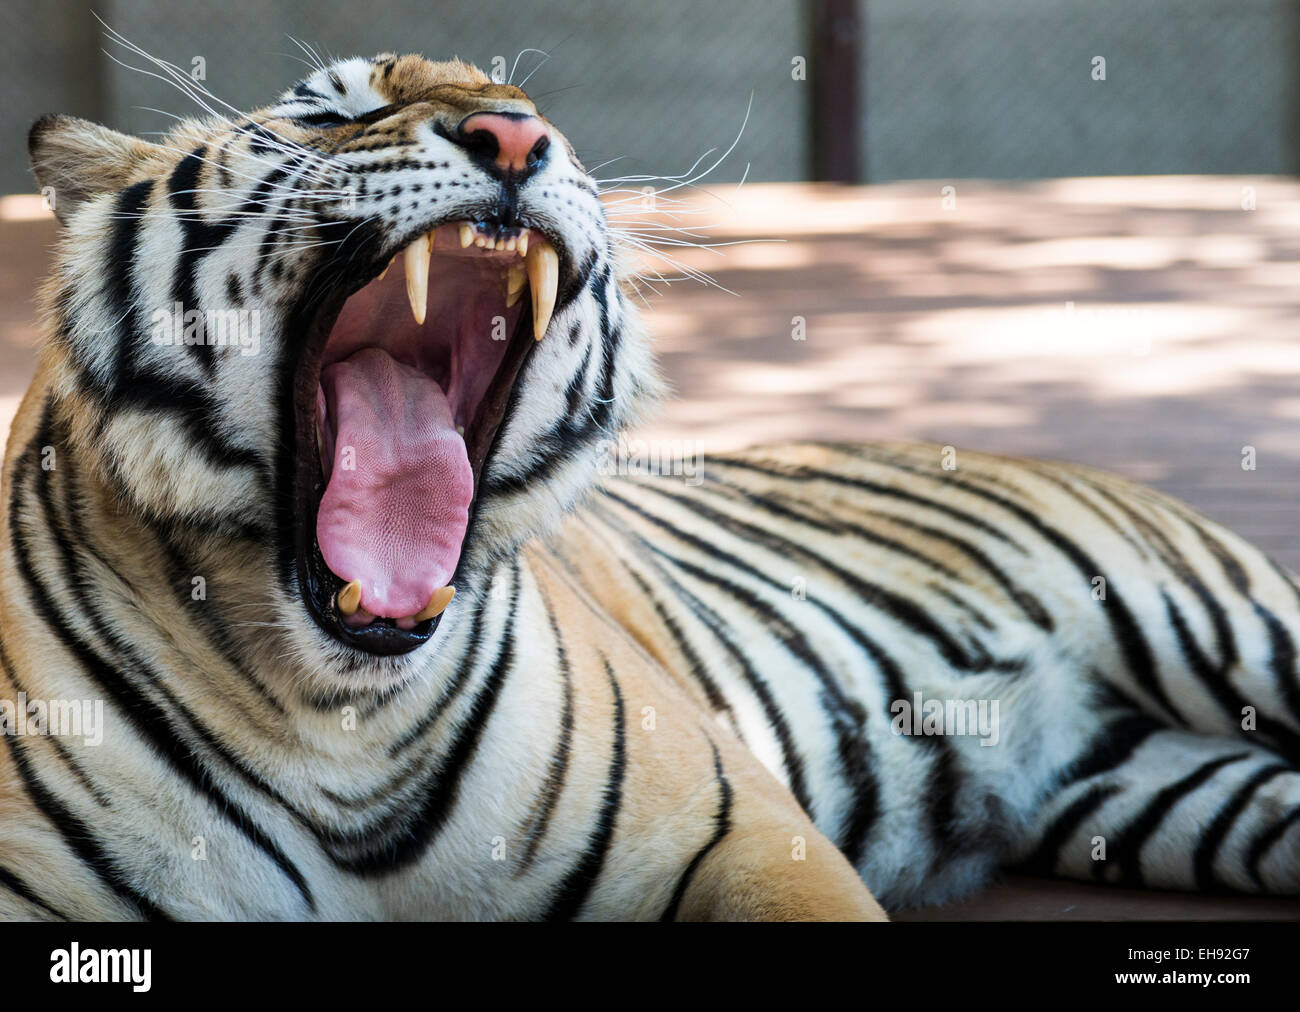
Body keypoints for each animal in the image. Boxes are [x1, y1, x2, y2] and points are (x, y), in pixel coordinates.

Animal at [2, 49, 1300, 920]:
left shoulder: (751, 844)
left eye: (539, 116)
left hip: (1233, 631)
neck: (338, 716)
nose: (515, 138)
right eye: (334, 108)